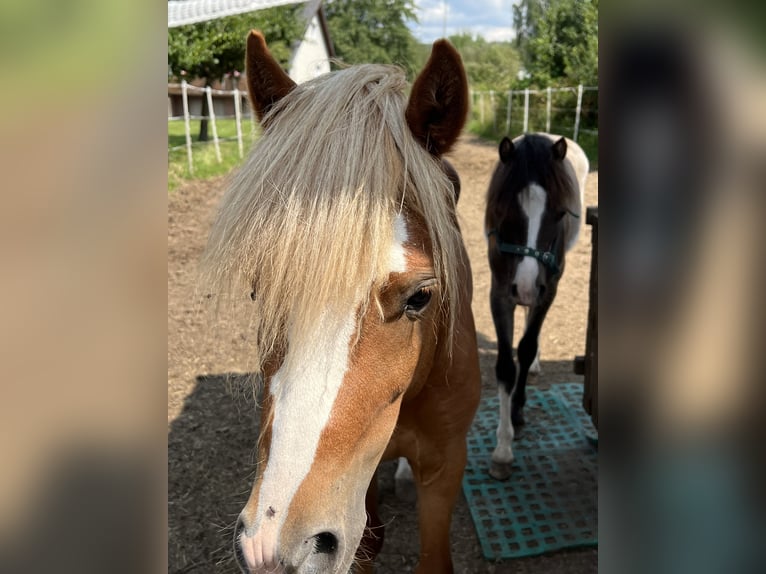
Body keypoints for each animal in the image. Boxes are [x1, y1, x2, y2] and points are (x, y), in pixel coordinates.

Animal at [488, 134, 592, 482]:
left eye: (560, 213)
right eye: (503, 210)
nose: (526, 286)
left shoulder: (548, 291)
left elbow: (526, 347)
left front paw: (518, 412)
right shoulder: (500, 293)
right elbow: (506, 366)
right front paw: (502, 450)